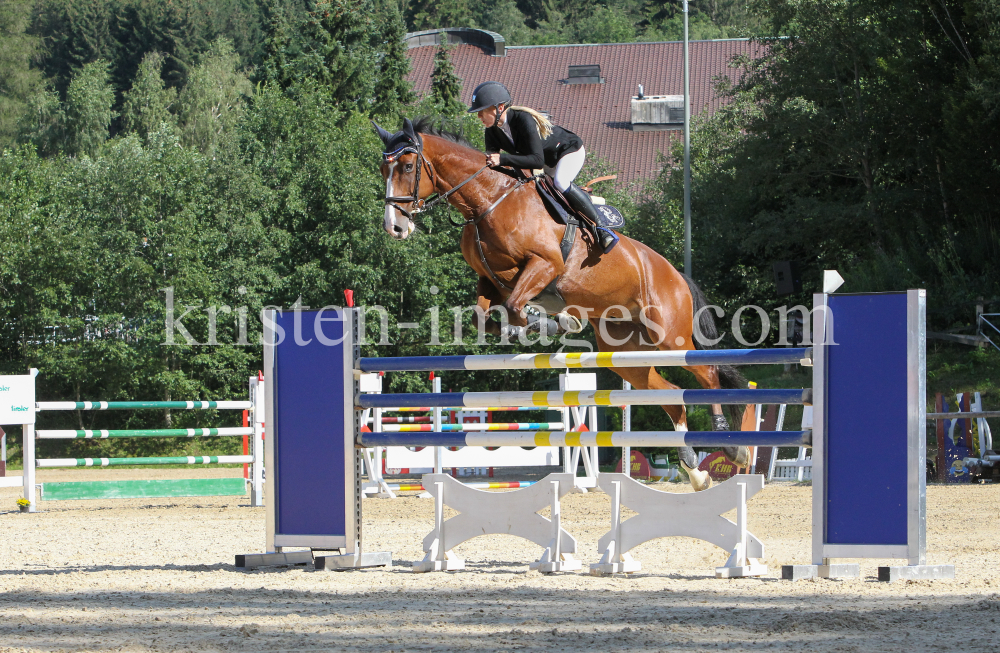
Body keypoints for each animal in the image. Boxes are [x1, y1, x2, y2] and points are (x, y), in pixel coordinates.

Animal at [372, 119, 748, 492]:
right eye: (382, 169)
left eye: (407, 166)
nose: (394, 227)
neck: (488, 202)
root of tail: (675, 273)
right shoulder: (490, 279)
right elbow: (486, 315)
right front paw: (540, 324)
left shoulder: (544, 264)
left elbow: (514, 304)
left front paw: (551, 322)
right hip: (626, 351)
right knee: (668, 394)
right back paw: (695, 470)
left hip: (670, 335)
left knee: (707, 372)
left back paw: (731, 446)